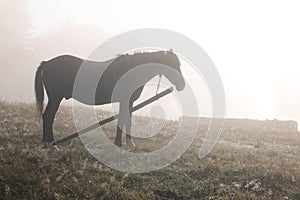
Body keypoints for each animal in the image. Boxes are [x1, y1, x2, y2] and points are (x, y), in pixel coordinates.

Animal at [35, 49, 185, 148]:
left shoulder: (128, 102)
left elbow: (126, 120)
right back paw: (49, 141)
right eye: (173, 64)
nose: (182, 85)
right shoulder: (124, 100)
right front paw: (120, 142)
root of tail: (47, 63)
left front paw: (127, 142)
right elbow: (123, 120)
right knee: (48, 116)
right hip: (55, 98)